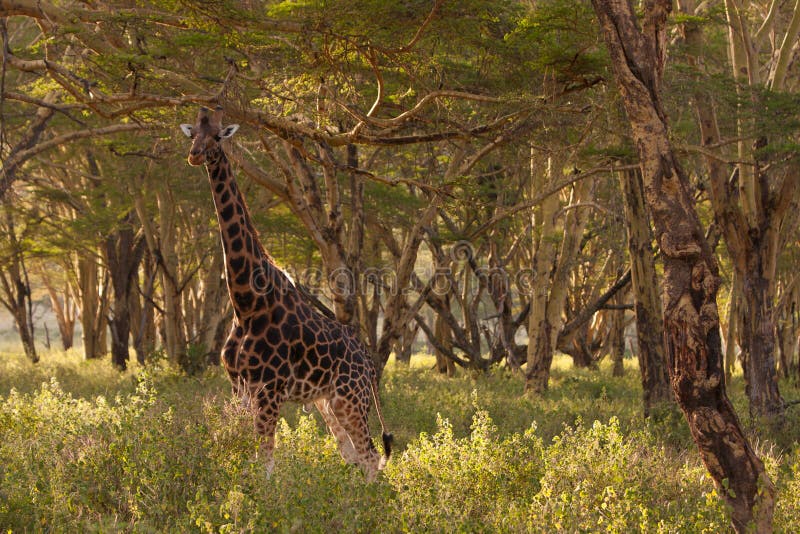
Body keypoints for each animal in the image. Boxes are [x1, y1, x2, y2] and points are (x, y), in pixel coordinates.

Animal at [180, 106, 392, 481]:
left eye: (219, 136)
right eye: (193, 135)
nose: (195, 155)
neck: (245, 302)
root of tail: (369, 363)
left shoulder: (270, 391)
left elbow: (265, 463)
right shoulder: (239, 388)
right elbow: (243, 456)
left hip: (350, 398)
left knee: (371, 456)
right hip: (328, 402)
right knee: (353, 455)